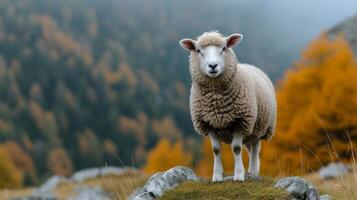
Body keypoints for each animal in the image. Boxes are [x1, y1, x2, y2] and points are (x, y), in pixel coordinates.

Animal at [178, 31, 276, 183]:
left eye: (223, 48)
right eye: (199, 51)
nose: (213, 66)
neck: (217, 103)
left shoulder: (241, 122)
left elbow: (236, 148)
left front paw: (239, 175)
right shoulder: (209, 124)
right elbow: (216, 150)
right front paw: (217, 176)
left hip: (259, 126)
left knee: (255, 148)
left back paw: (253, 172)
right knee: (249, 147)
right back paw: (250, 171)